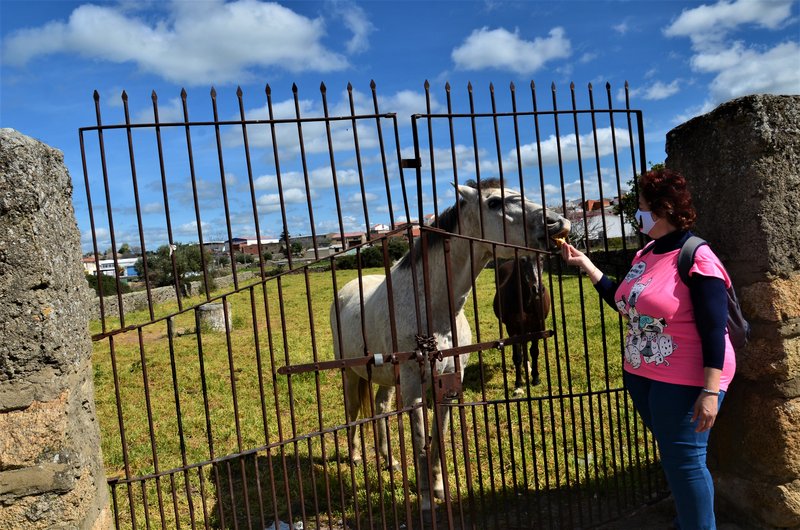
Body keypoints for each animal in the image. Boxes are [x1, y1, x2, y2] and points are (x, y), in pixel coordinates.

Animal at [490, 256, 552, 392]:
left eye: (541, 259)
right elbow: (517, 355)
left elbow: (534, 351)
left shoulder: (537, 326)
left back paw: (527, 367)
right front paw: (518, 383)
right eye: (523, 260)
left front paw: (536, 378)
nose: (537, 289)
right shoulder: (512, 329)